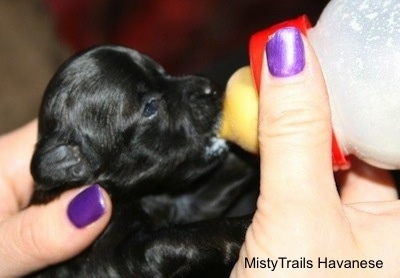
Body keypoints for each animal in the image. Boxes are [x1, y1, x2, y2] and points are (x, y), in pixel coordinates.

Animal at [30, 44, 256, 276]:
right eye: (150, 107)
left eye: (164, 72)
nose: (212, 87)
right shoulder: (118, 257)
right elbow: (178, 237)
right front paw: (242, 227)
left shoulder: (189, 205)